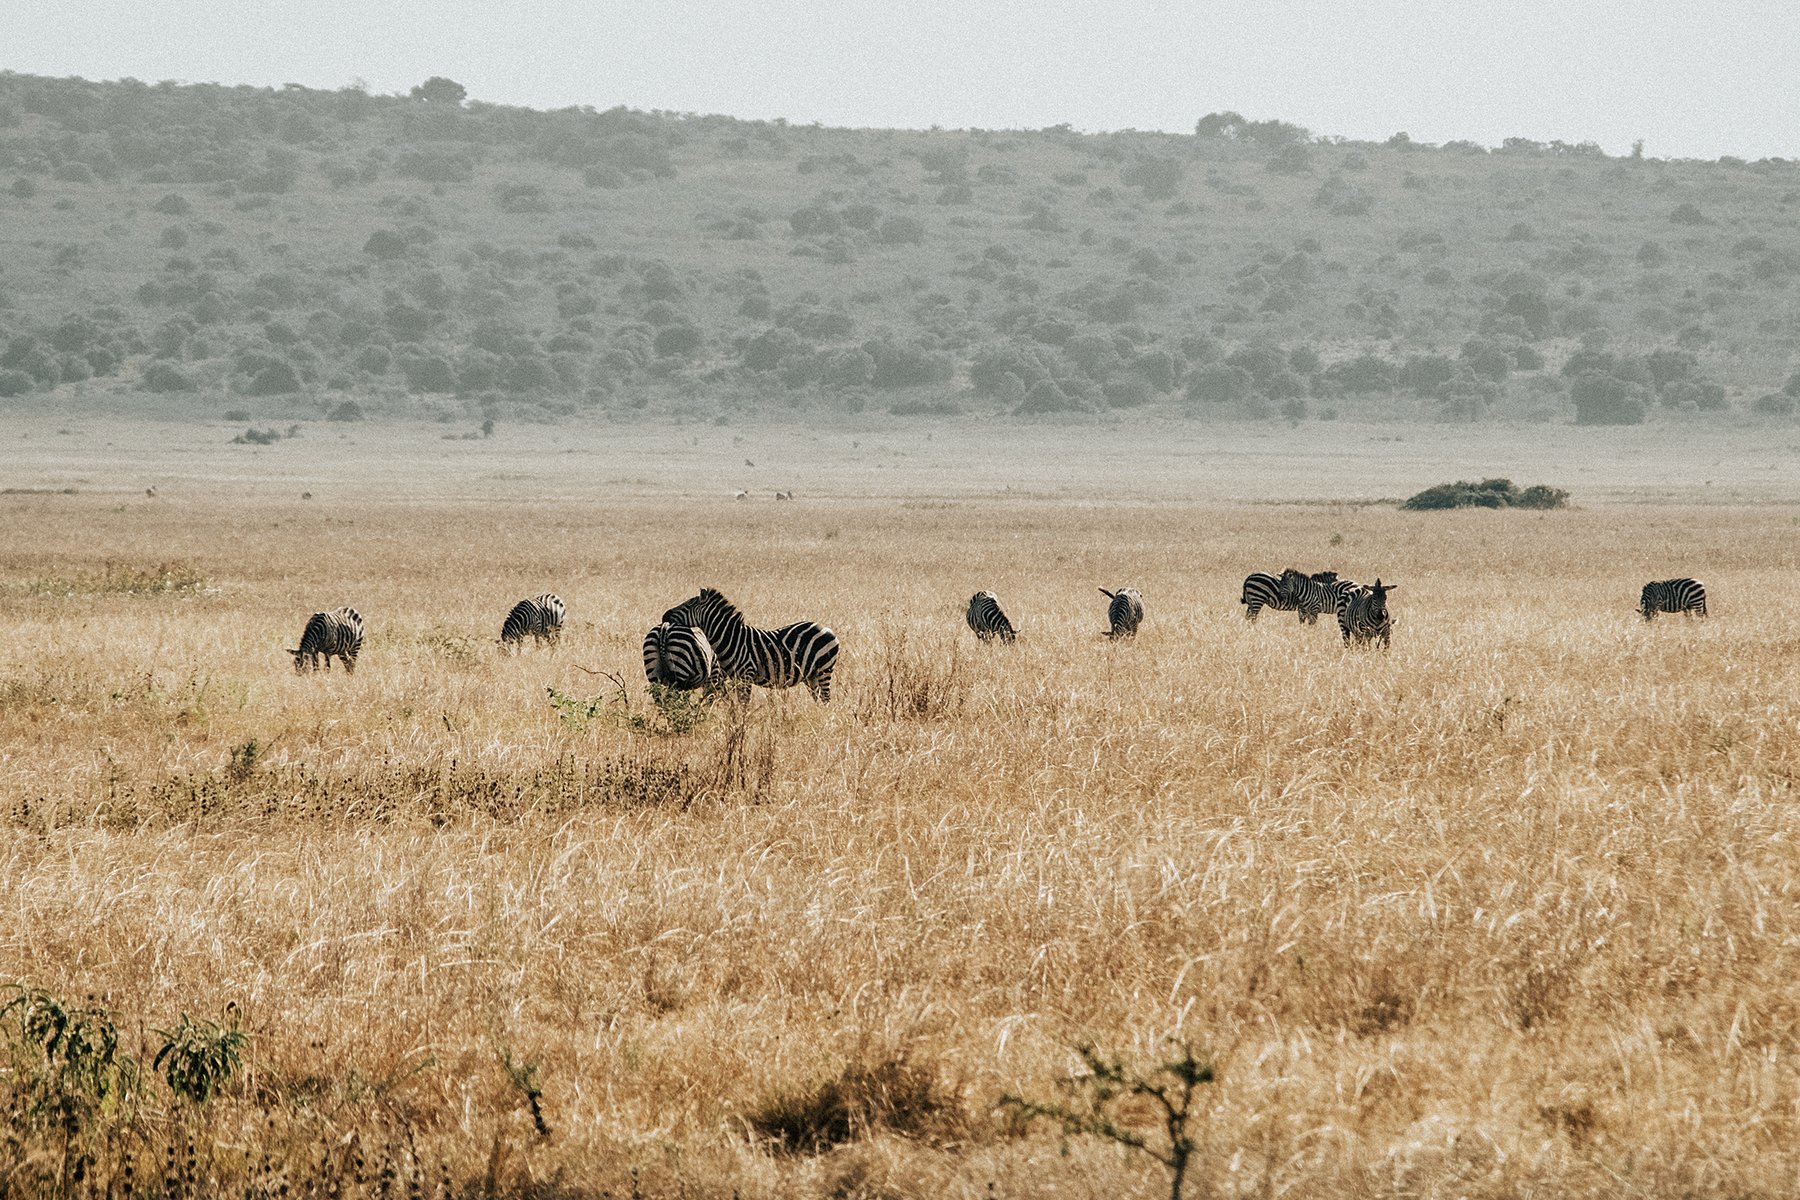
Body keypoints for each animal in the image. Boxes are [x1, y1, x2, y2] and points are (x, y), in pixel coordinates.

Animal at [659, 588, 839, 702]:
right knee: (819, 699)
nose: (664, 615)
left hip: (824, 670)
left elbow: (744, 704)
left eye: (688, 604)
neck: (731, 639)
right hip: (811, 675)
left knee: (825, 698)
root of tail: (825, 627)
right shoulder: (735, 678)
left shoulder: (746, 675)